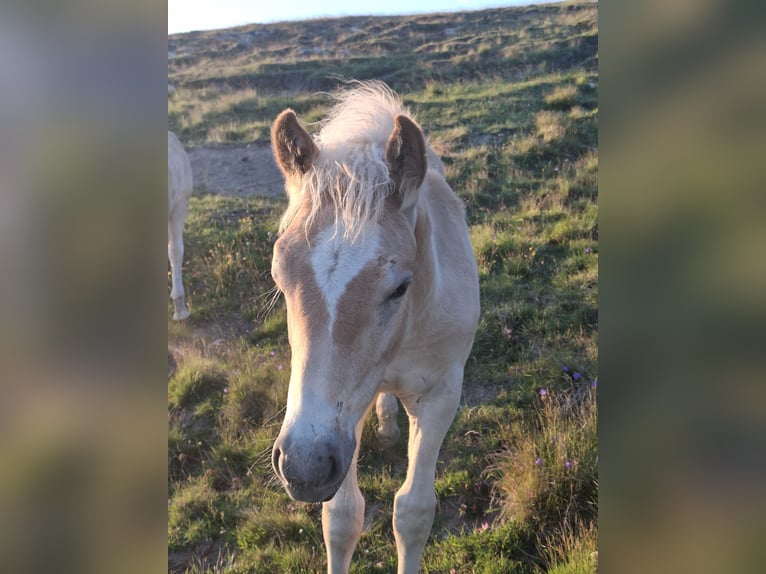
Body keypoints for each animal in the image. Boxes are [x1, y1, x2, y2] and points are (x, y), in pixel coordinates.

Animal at [269, 81, 480, 574]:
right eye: (279, 278)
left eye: (400, 286)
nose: (304, 465)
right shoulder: (344, 416)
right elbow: (342, 518)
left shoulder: (441, 395)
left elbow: (413, 512)